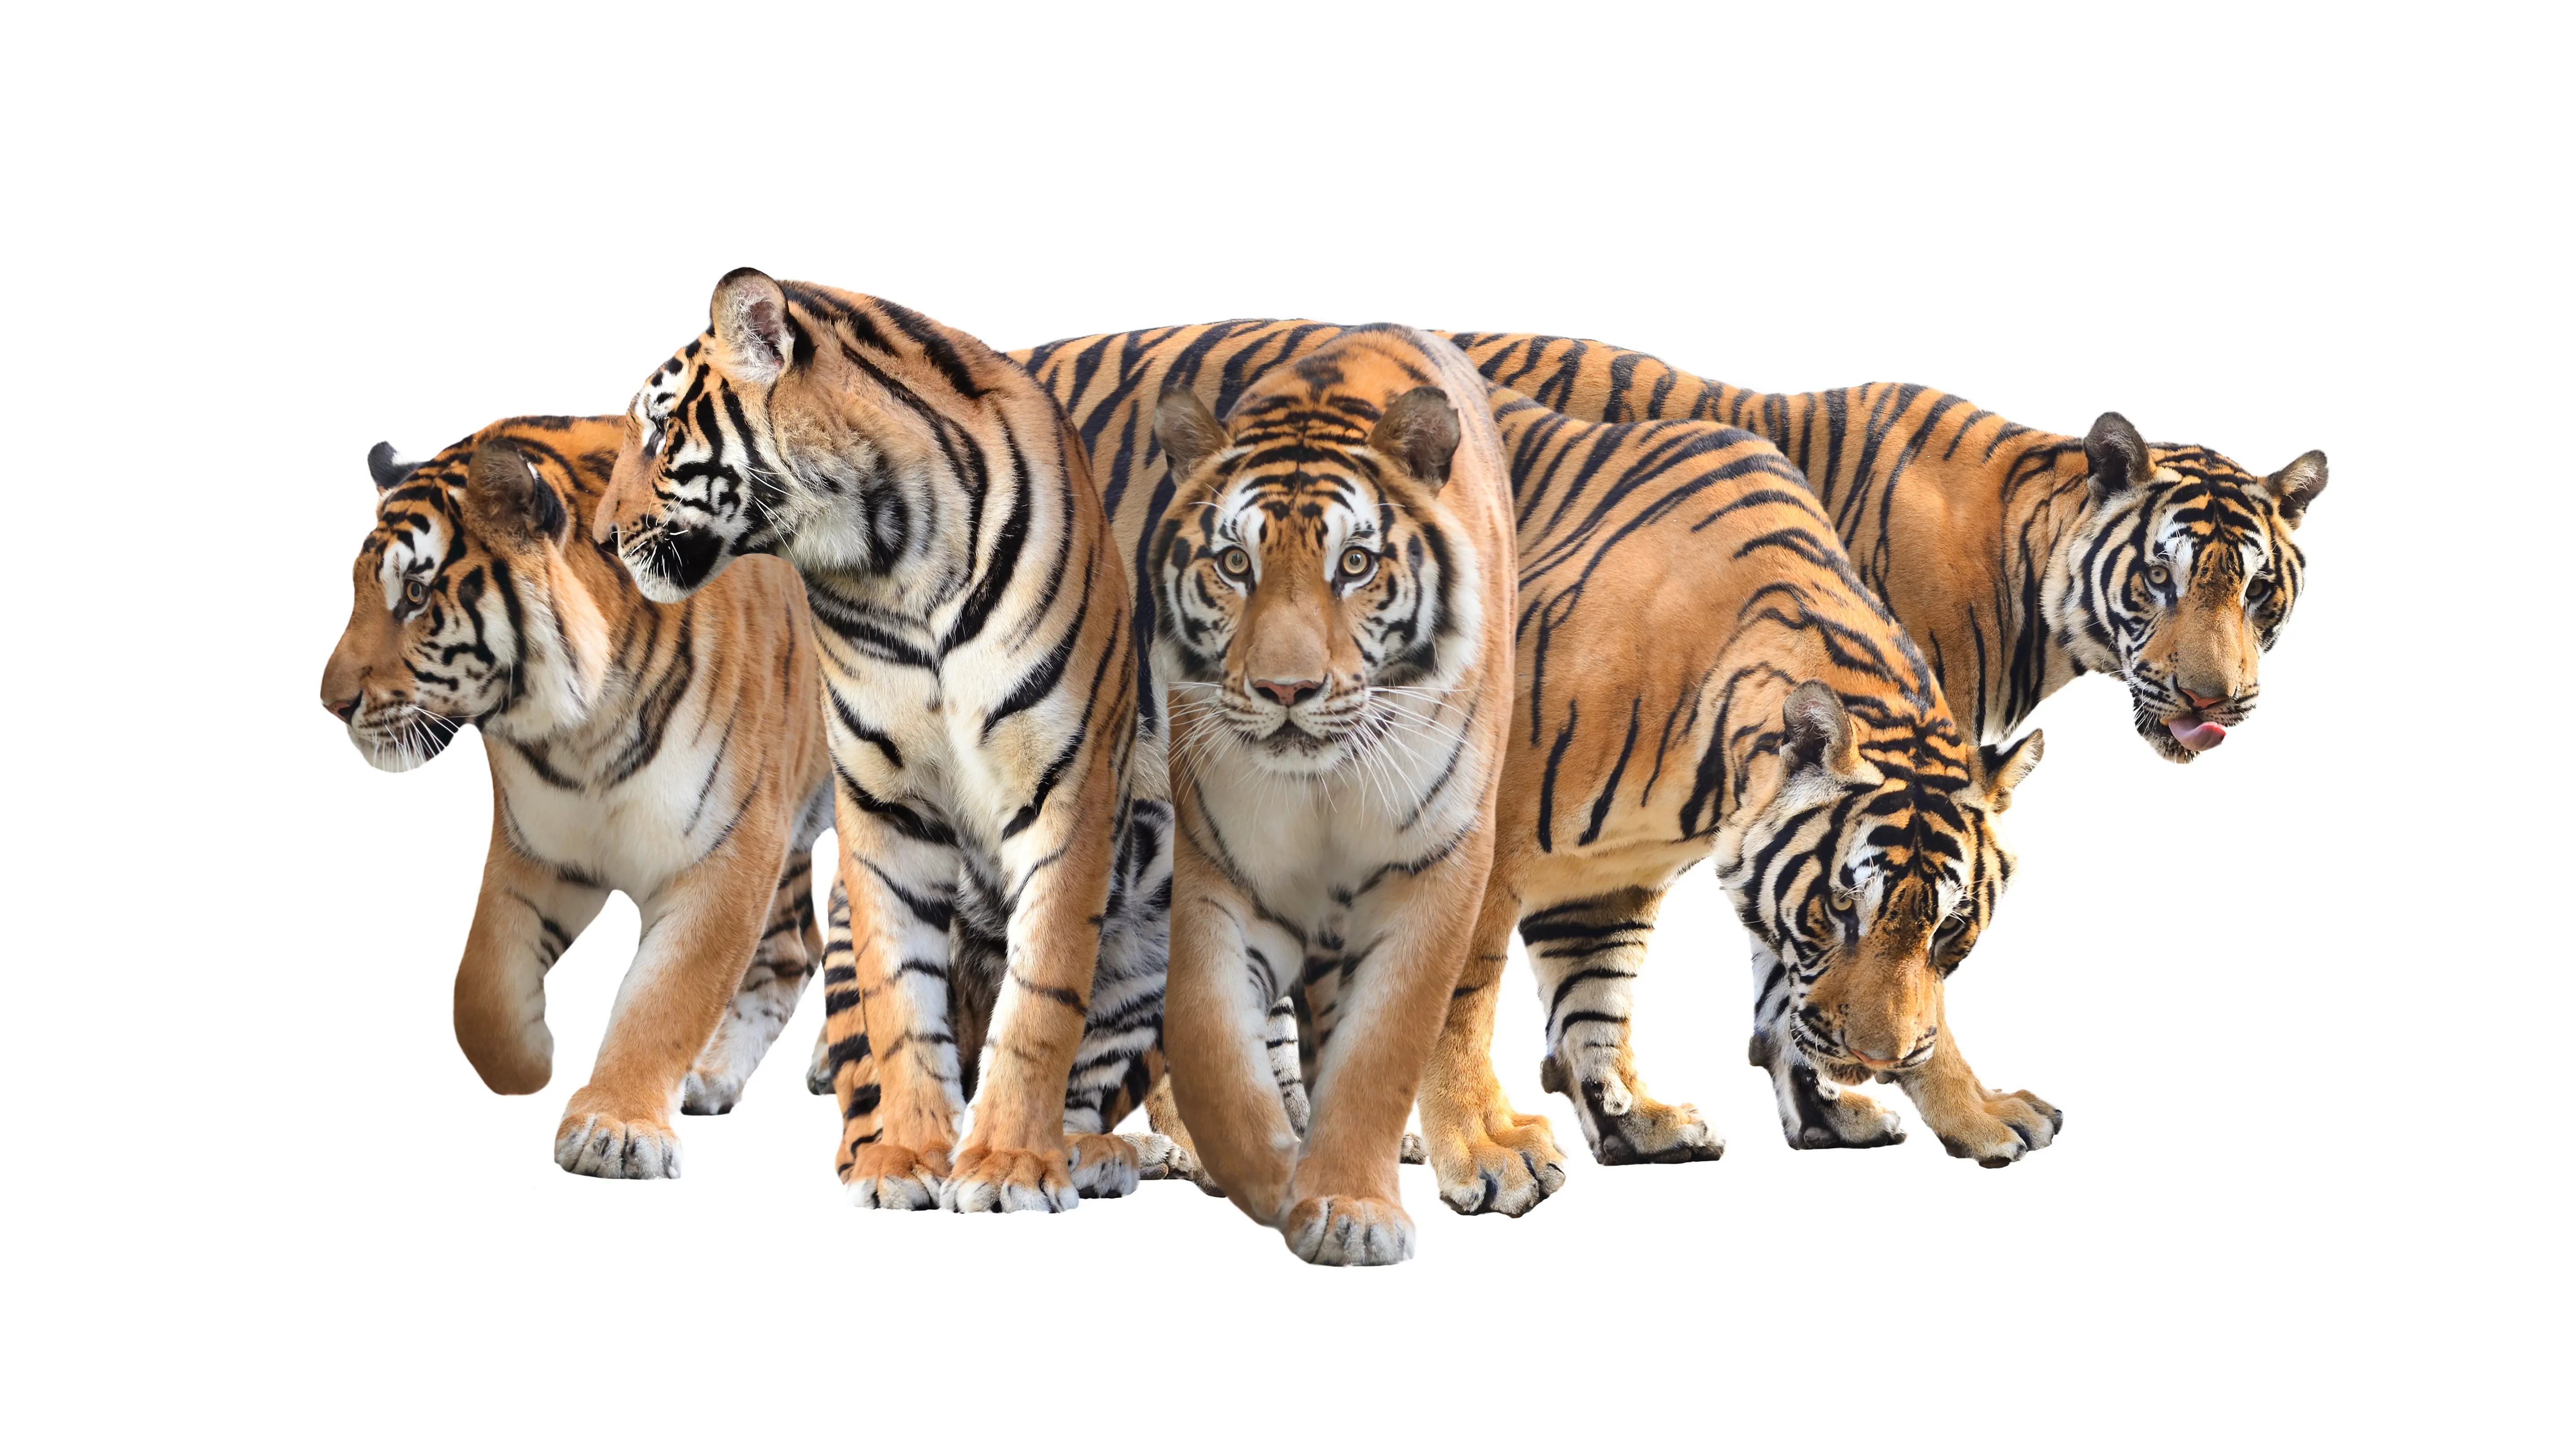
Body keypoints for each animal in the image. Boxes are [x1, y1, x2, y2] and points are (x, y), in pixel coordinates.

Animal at [320, 415, 833, 1179]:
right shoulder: (538, 849)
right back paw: (714, 1076)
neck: (583, 733)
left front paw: (615, 1130)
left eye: (415, 594)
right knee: (794, 949)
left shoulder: (729, 851)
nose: (331, 703)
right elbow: (480, 991)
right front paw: (534, 1058)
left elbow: (667, 997)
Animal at [592, 270, 1163, 1212]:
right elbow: (901, 1001)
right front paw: (907, 1158)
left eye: (664, 433)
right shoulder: (883, 803)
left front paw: (1008, 1164)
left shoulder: (1066, 788)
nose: (602, 539)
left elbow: (1041, 1001)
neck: (891, 558)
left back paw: (1089, 1152)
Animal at [1148, 326, 1514, 1265]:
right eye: (1234, 564)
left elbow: (1382, 1048)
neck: (1327, 781)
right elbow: (1210, 1046)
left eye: (1354, 565)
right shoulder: (1218, 877)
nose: (1286, 689)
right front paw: (1281, 1180)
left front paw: (1351, 1208)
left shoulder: (1436, 870)